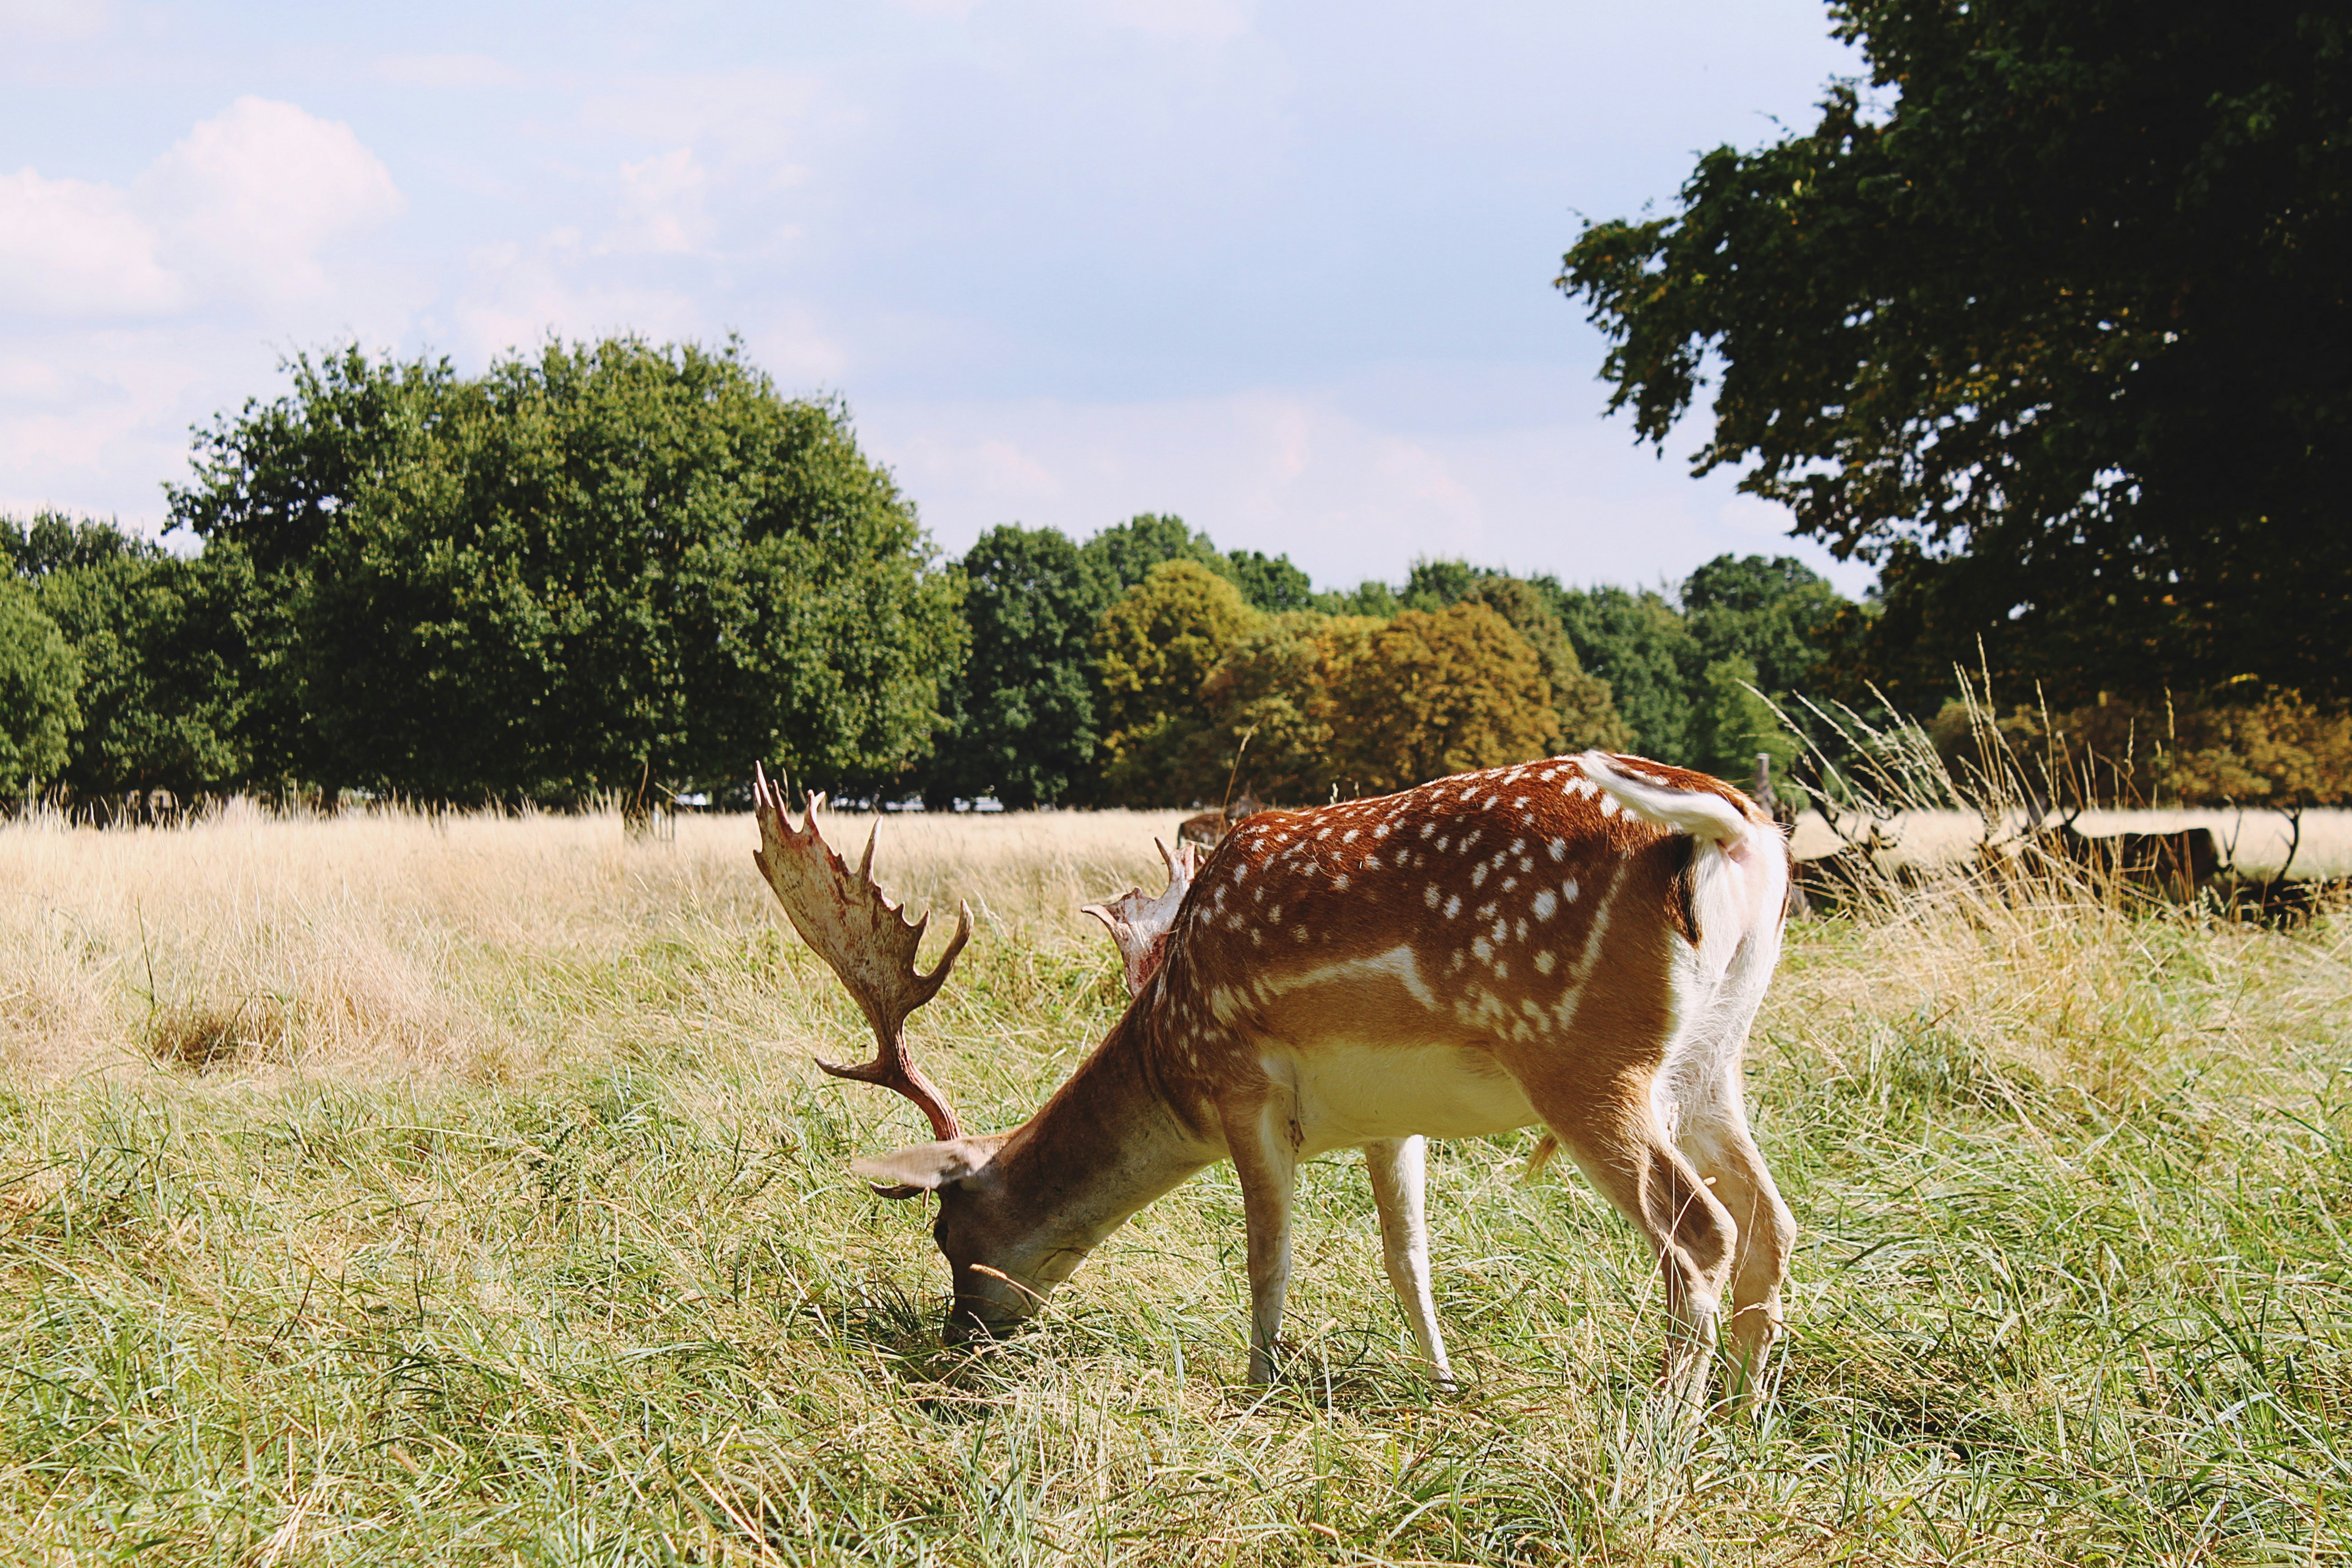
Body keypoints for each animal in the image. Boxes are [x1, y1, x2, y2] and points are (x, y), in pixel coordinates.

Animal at [752, 752, 1797, 1401]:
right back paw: (1743, 1416)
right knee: (1772, 1218)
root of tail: (1734, 832)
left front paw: (1260, 1386)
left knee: (1701, 1232)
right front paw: (1444, 1386)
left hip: (1584, 1055)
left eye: (945, 1229)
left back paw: (1662, 1428)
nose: (959, 1337)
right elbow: (1408, 1260)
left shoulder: (1245, 1089)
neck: (1168, 1052)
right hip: (1708, 1061)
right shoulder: (1392, 1117)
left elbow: (1269, 1255)